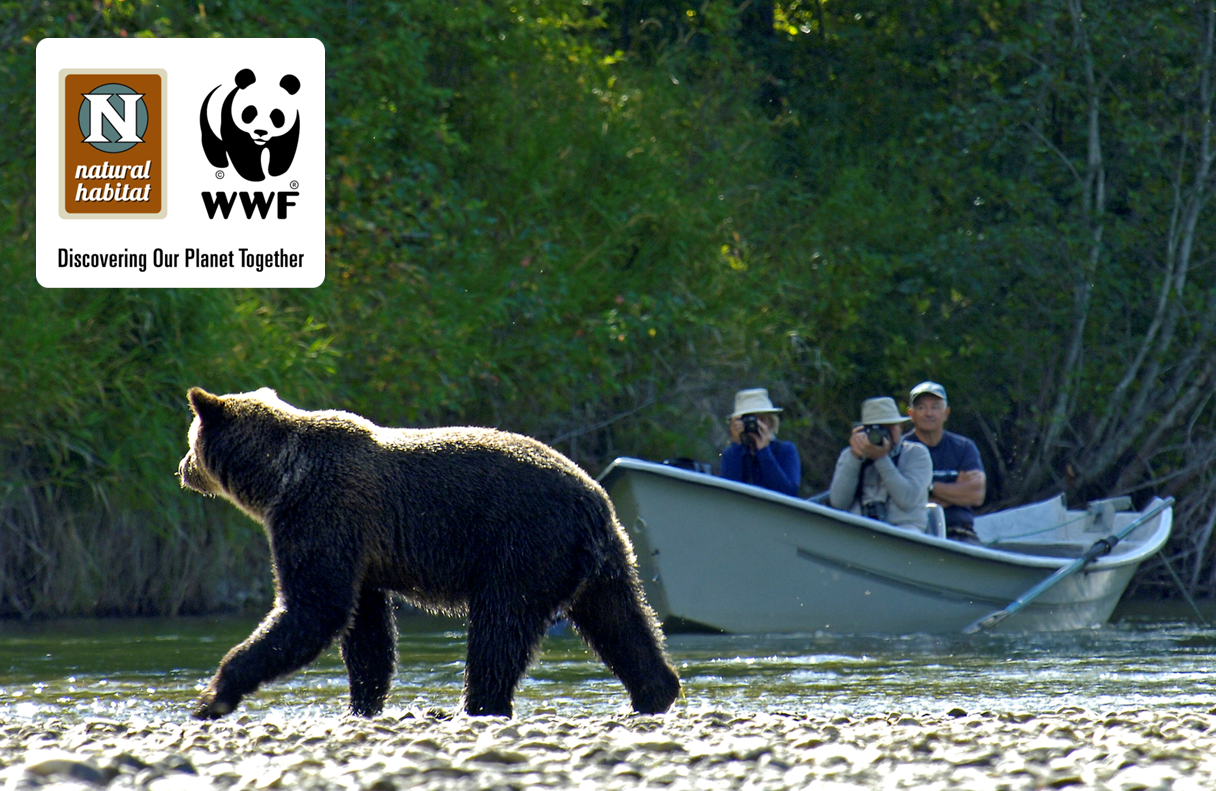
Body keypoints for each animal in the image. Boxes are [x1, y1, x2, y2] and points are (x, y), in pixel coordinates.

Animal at [177, 387, 680, 719]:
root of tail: (595, 499)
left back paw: (477, 704)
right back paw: (656, 691)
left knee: (499, 629)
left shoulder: (322, 516)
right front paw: (363, 703)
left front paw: (214, 694)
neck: (278, 480)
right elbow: (366, 629)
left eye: (190, 439)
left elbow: (314, 608)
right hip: (603, 558)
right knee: (621, 620)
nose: (182, 468)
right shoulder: (362, 552)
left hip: (522, 546)